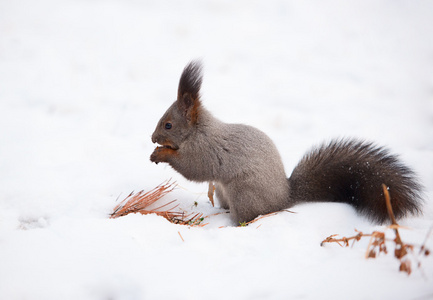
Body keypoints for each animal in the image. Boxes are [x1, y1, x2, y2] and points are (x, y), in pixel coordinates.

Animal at [149, 61, 422, 225]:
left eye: (168, 125)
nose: (152, 138)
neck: (198, 131)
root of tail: (284, 198)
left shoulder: (205, 150)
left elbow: (193, 168)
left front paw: (160, 154)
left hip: (243, 194)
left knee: (249, 217)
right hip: (226, 193)